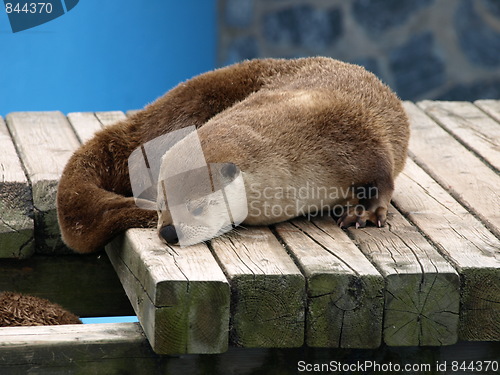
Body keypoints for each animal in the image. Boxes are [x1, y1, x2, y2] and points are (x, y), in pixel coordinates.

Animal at [57, 57, 410, 254]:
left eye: (197, 207)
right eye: (160, 206)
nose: (169, 232)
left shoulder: (356, 136)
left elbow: (381, 178)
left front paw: (363, 213)